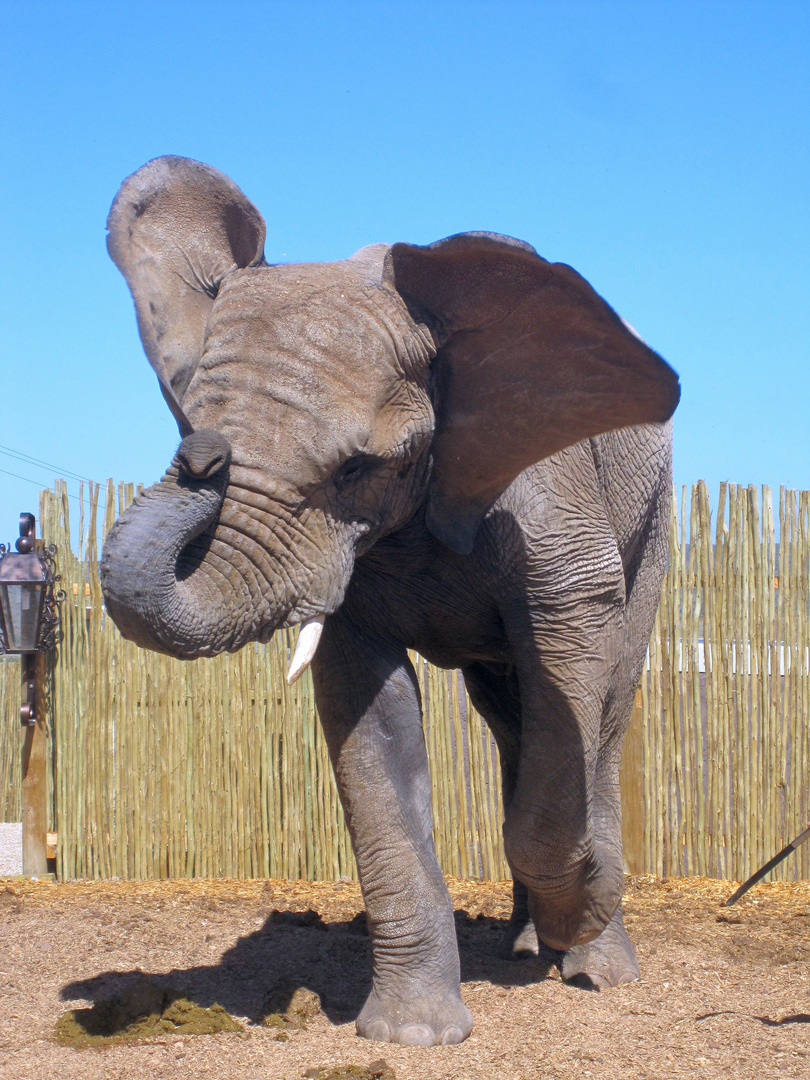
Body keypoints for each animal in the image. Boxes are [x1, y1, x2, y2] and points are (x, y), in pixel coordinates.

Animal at [101, 156, 682, 1041]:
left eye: (356, 468)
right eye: (184, 414)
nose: (201, 454)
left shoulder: (546, 490)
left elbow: (574, 644)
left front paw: (583, 907)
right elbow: (366, 720)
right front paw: (411, 1035)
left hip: (652, 516)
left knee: (604, 712)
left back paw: (591, 965)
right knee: (511, 718)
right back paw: (524, 948)